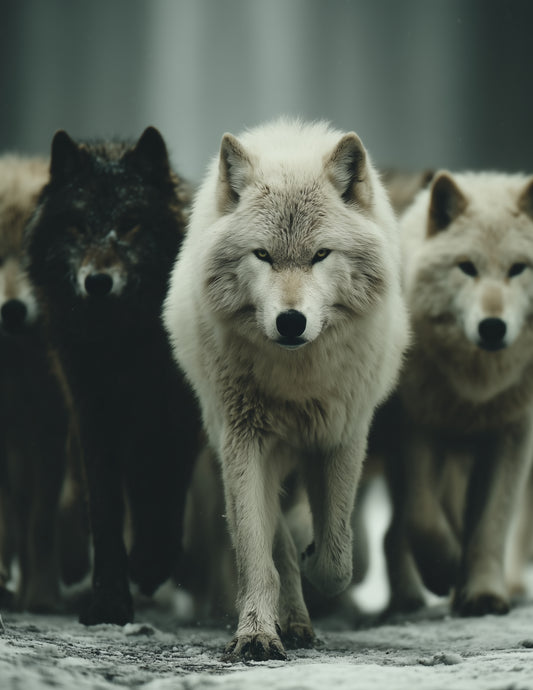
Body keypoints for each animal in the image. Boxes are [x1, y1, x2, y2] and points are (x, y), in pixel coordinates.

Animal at [25, 128, 201, 625]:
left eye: (129, 224)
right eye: (78, 227)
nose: (98, 282)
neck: (124, 347)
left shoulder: (179, 421)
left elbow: (167, 494)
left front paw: (150, 564)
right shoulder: (92, 415)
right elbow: (104, 510)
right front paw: (109, 602)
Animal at [163, 118, 409, 660]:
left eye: (320, 255)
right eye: (263, 255)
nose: (291, 321)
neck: (298, 380)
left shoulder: (342, 438)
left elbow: (337, 556)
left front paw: (319, 558)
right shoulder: (245, 443)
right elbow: (261, 553)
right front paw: (256, 632)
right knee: (274, 546)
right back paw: (290, 620)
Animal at [383, 171, 533, 616]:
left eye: (518, 269)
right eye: (467, 268)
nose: (493, 327)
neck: (474, 392)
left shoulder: (511, 438)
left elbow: (492, 525)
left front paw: (484, 593)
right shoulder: (418, 429)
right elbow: (422, 517)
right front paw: (445, 570)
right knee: (395, 531)